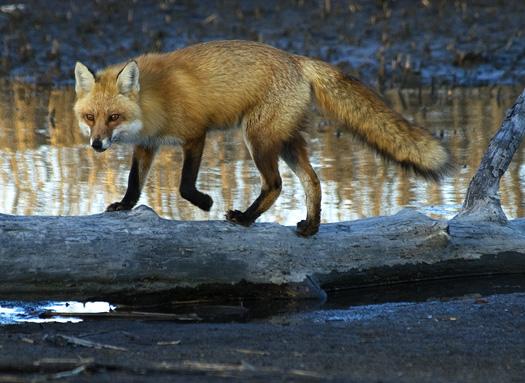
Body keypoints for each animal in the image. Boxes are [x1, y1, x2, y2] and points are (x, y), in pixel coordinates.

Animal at [74, 39, 450, 237]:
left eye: (114, 117)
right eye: (90, 118)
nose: (97, 145)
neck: (154, 98)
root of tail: (296, 59)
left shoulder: (195, 135)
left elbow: (184, 185)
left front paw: (205, 203)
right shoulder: (147, 144)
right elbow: (134, 181)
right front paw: (124, 206)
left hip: (257, 139)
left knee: (276, 184)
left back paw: (246, 218)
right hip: (285, 142)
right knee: (313, 181)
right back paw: (311, 226)